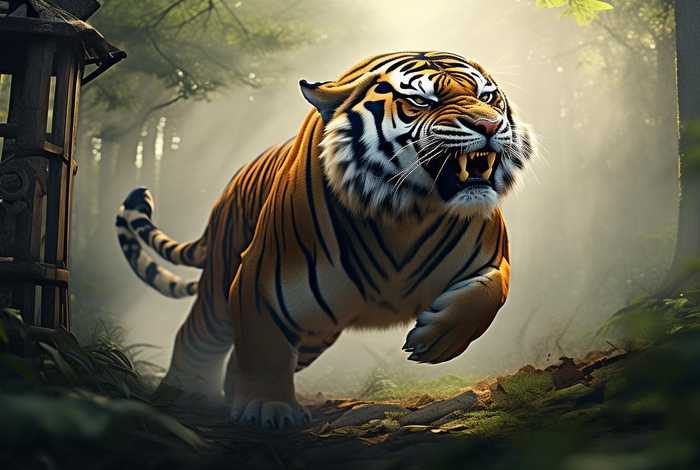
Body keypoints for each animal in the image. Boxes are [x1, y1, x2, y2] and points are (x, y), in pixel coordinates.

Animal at [115, 51, 534, 430]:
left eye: (488, 97)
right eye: (420, 101)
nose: (490, 124)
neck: (407, 216)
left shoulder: (492, 260)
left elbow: (490, 293)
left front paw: (437, 339)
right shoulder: (258, 283)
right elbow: (263, 348)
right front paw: (268, 408)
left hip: (315, 332)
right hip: (222, 289)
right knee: (197, 337)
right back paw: (183, 396)